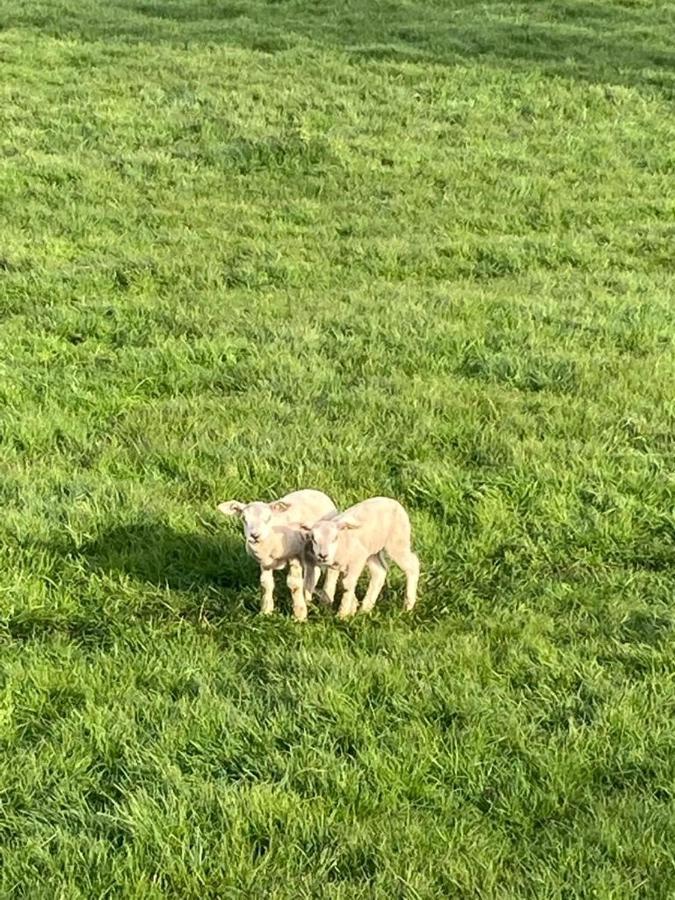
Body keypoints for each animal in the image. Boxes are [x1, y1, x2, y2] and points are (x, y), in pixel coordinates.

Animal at [218, 488, 340, 624]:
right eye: (244, 518)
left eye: (268, 518)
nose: (254, 536)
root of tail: (315, 490)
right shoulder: (265, 563)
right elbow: (266, 584)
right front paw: (266, 611)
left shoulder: (295, 555)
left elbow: (294, 584)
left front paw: (299, 615)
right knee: (312, 574)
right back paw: (308, 598)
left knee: (329, 572)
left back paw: (324, 600)